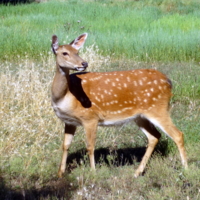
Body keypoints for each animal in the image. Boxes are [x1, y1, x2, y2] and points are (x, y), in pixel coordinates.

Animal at [51, 32, 188, 178]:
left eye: (77, 52)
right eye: (65, 53)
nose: (84, 63)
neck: (65, 96)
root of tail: (169, 82)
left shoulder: (90, 117)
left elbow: (90, 146)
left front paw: (93, 172)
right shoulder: (69, 121)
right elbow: (65, 145)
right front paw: (60, 173)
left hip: (158, 109)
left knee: (178, 135)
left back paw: (186, 168)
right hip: (140, 116)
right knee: (154, 137)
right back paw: (137, 172)